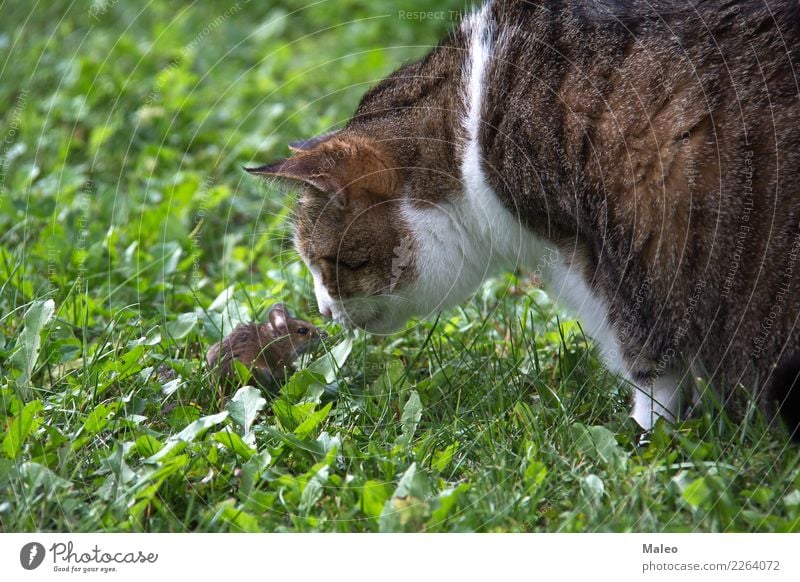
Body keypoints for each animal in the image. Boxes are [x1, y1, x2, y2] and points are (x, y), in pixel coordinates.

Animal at [245, 0, 800, 438]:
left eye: (329, 264)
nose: (323, 311)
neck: (467, 127)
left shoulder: (626, 249)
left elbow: (649, 363)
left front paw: (647, 440)